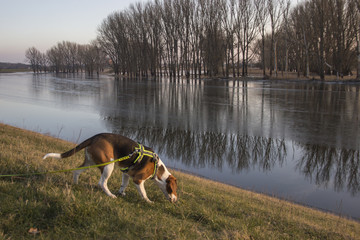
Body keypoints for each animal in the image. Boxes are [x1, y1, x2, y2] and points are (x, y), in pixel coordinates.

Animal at [43, 133, 178, 202]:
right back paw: (110, 195)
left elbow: (124, 185)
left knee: (76, 172)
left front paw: (121, 192)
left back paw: (76, 184)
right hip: (109, 164)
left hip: (90, 162)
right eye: (174, 189)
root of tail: (94, 137)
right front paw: (148, 201)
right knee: (102, 182)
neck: (157, 168)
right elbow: (143, 193)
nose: (176, 200)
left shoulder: (126, 174)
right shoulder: (138, 180)